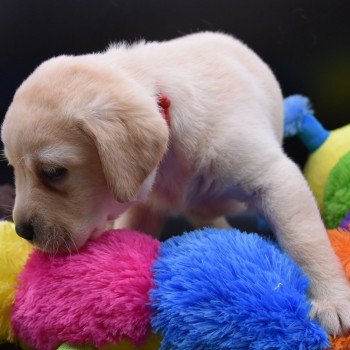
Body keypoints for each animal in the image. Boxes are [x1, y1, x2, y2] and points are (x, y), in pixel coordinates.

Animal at [2, 32, 350, 334]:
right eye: (13, 168)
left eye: (53, 172)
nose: (22, 231)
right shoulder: (146, 203)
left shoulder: (275, 177)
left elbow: (304, 239)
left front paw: (331, 300)